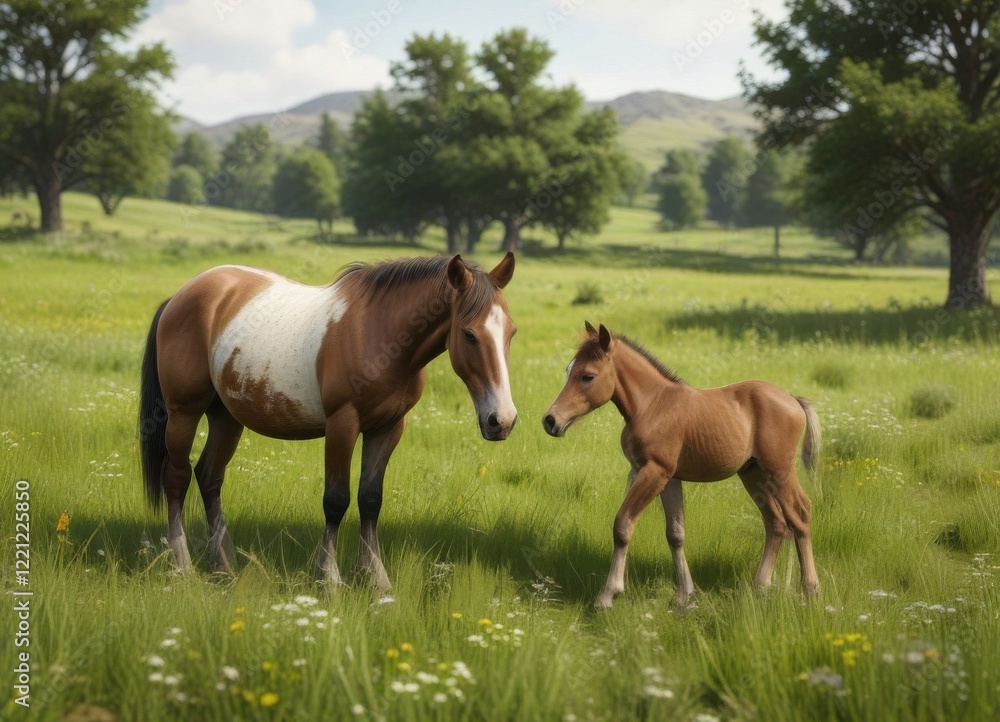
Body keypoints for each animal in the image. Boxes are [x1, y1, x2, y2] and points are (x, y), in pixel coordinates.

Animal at [138, 253, 517, 589]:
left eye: (510, 332)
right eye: (468, 334)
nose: (502, 420)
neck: (378, 333)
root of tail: (180, 297)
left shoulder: (388, 428)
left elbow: (370, 500)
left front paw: (377, 581)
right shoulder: (342, 425)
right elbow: (336, 501)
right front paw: (330, 579)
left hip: (226, 417)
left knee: (209, 477)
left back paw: (224, 566)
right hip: (184, 412)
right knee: (177, 478)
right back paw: (184, 566)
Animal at [542, 322, 820, 609]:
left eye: (587, 376)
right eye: (568, 370)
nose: (551, 421)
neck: (652, 406)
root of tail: (794, 400)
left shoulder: (655, 472)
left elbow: (623, 524)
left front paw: (607, 595)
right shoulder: (666, 477)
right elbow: (675, 533)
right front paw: (683, 594)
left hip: (779, 471)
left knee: (801, 513)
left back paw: (810, 589)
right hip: (753, 474)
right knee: (776, 523)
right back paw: (760, 586)